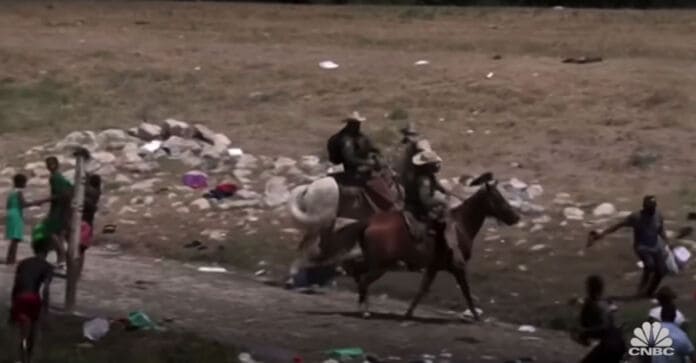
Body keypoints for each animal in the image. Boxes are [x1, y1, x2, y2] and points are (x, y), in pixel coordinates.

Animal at [346, 173, 516, 322]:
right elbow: (466, 291)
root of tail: (369, 223)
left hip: (376, 263)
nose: (515, 217)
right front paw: (476, 317)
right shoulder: (458, 267)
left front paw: (408, 313)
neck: (460, 225)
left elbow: (423, 289)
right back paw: (365, 311)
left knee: (357, 272)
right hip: (380, 266)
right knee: (363, 281)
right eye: (497, 198)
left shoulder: (433, 267)